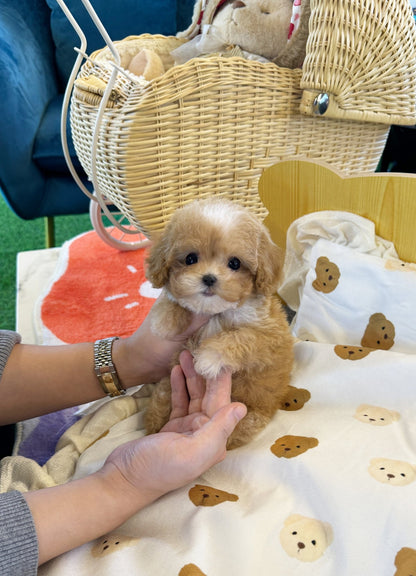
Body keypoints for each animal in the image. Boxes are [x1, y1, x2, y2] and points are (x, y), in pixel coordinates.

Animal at [145, 199, 294, 450]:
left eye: (235, 263)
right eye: (190, 259)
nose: (209, 278)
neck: (215, 313)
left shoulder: (269, 337)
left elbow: (240, 337)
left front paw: (208, 358)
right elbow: (175, 300)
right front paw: (164, 319)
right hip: (168, 384)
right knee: (162, 398)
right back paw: (153, 426)